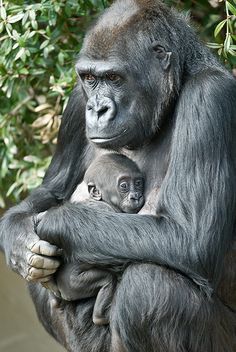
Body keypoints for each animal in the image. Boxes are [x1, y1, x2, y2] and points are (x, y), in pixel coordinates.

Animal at [55, 153, 145, 324]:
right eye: (124, 186)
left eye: (138, 183)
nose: (136, 196)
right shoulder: (107, 209)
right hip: (76, 283)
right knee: (106, 280)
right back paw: (100, 317)